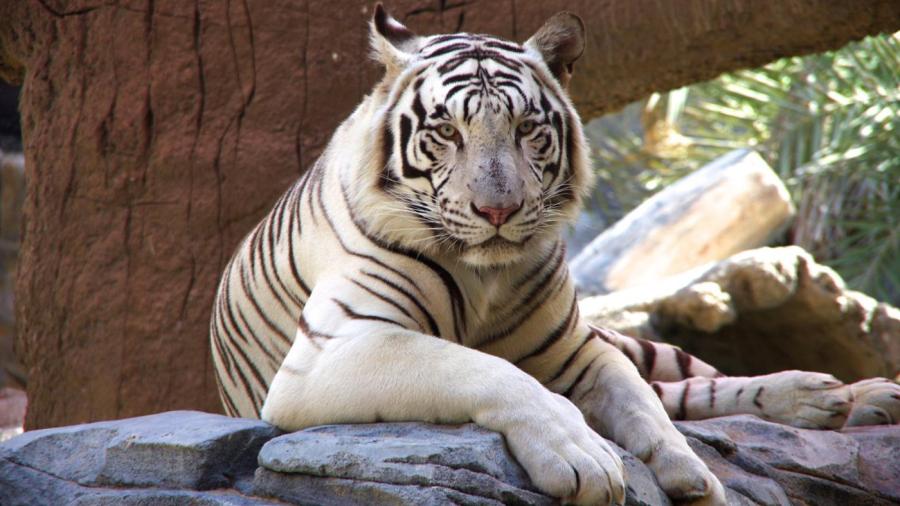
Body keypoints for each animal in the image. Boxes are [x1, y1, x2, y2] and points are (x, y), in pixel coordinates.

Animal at [210, 5, 900, 505]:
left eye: (525, 129)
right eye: (447, 132)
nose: (497, 210)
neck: (484, 276)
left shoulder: (579, 348)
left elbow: (643, 403)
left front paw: (692, 475)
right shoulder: (338, 349)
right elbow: (486, 369)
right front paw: (584, 459)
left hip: (639, 341)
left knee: (691, 382)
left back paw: (843, 394)